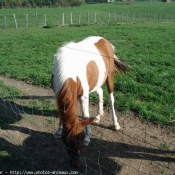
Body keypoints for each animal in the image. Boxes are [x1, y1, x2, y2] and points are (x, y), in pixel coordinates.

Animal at [50, 36, 129, 166]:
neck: (68, 68)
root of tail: (104, 40)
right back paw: (97, 116)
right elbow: (62, 114)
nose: (76, 163)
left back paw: (115, 124)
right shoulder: (58, 93)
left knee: (111, 99)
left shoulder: (83, 96)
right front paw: (58, 130)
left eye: (80, 138)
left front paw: (87, 138)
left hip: (109, 77)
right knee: (99, 93)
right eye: (65, 141)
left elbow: (85, 116)